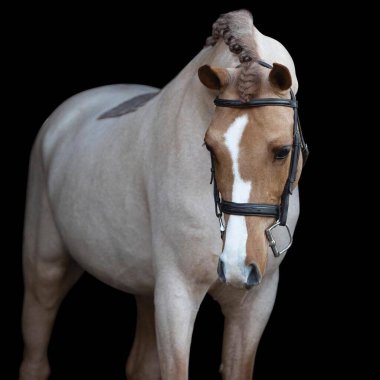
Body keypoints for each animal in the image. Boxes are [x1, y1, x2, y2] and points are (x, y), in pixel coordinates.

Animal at [19, 8, 308, 380]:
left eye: (282, 151)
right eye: (210, 146)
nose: (235, 265)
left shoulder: (257, 300)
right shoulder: (176, 293)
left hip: (143, 285)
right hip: (45, 271)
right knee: (35, 356)